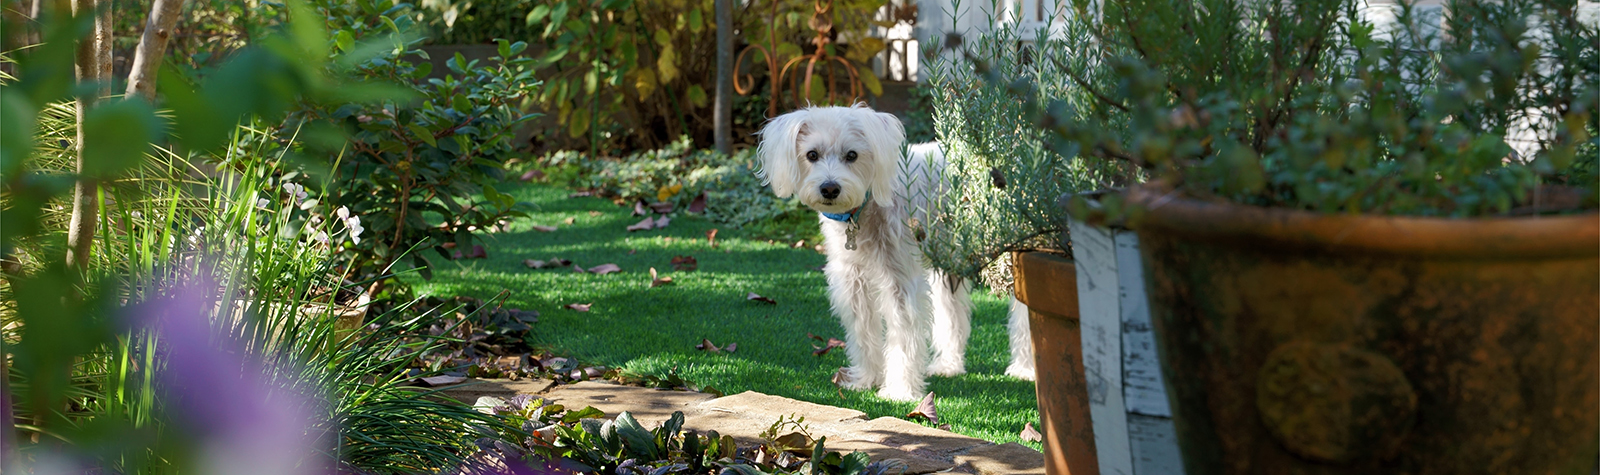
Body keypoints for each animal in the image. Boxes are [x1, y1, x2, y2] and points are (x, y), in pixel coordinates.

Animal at [752, 102, 1030, 399]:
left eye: (852, 155)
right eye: (811, 154)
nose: (830, 188)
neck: (864, 209)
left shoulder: (901, 281)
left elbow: (902, 336)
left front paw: (899, 390)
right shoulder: (854, 281)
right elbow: (864, 333)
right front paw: (866, 379)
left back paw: (1025, 368)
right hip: (948, 262)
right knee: (952, 314)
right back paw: (948, 366)